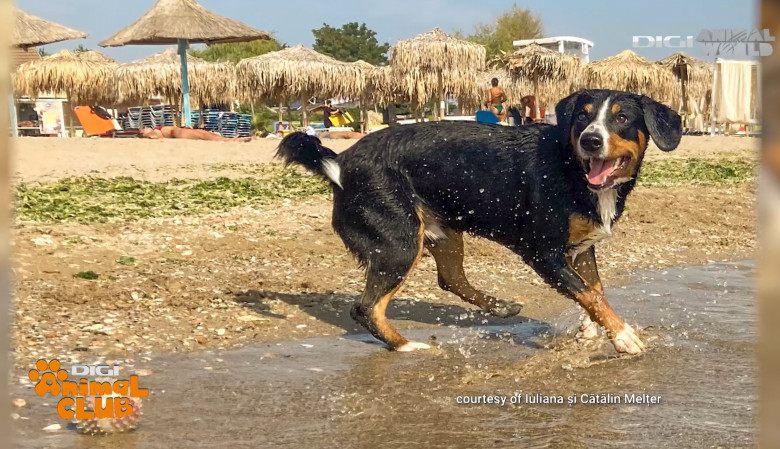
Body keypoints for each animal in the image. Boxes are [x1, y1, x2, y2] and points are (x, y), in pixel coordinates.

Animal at [278, 88, 680, 354]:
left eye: (622, 118)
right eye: (582, 117)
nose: (591, 140)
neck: (571, 169)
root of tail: (341, 162)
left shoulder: (582, 249)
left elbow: (594, 290)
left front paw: (591, 329)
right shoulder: (543, 253)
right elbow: (588, 293)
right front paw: (622, 335)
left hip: (444, 235)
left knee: (450, 279)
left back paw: (499, 306)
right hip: (399, 244)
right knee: (366, 308)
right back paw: (407, 347)